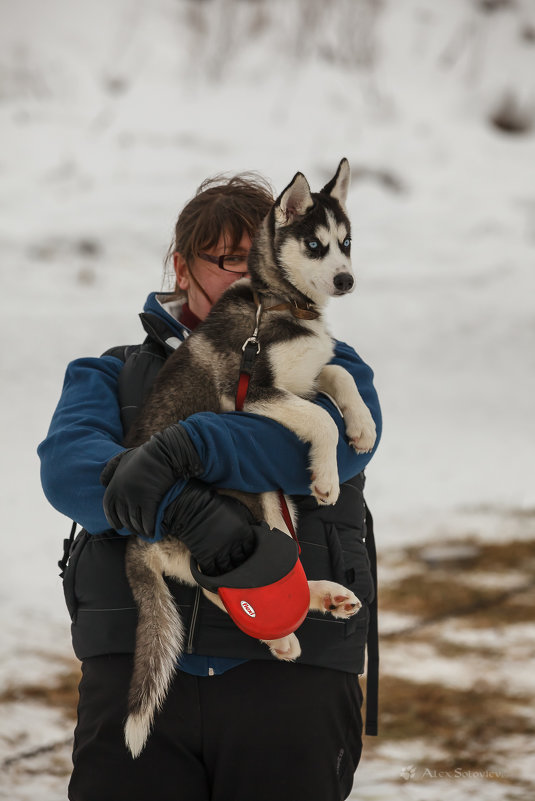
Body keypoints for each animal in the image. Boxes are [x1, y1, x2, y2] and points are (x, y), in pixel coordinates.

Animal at [121, 159, 374, 752]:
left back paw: (320, 603)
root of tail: (137, 542)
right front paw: (329, 476)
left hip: (271, 503)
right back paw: (289, 629)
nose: (346, 280)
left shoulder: (304, 379)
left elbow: (340, 373)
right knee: (222, 586)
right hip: (239, 510)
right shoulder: (256, 394)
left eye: (346, 242)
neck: (277, 301)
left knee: (266, 573)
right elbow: (319, 419)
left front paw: (362, 427)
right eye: (313, 244)